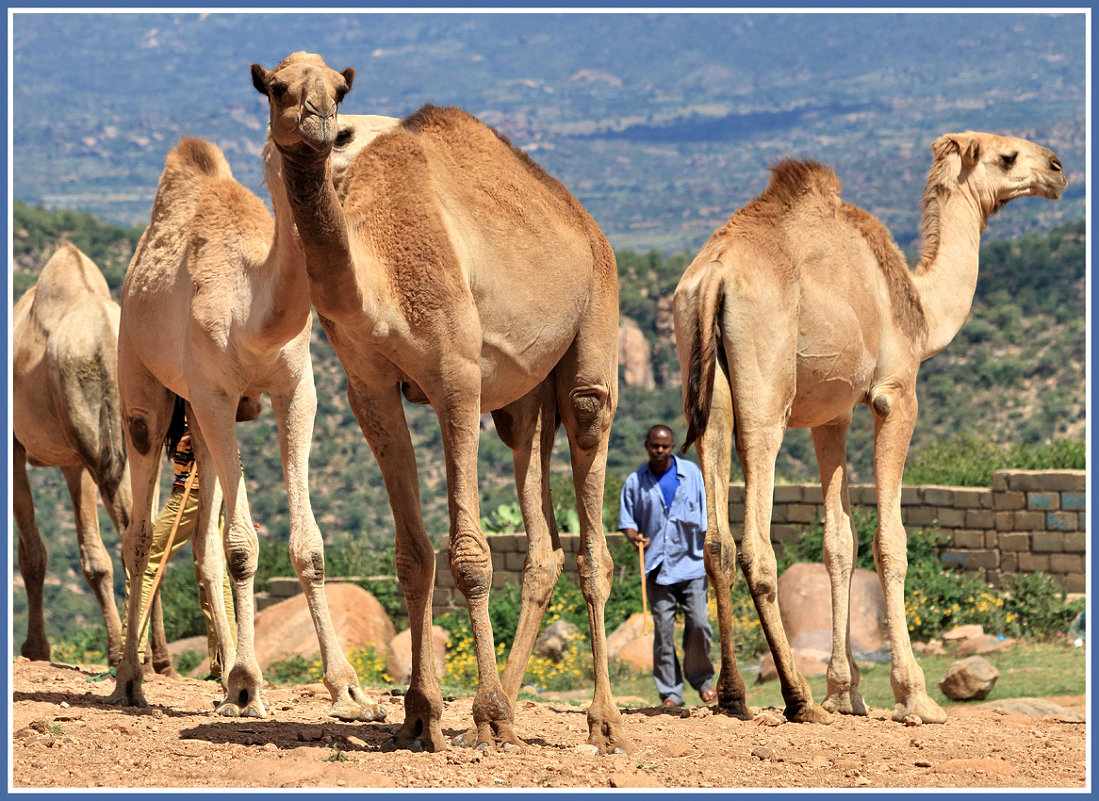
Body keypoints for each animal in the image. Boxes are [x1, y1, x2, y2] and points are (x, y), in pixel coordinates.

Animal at [107, 112, 397, 720]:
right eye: (343, 134)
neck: (253, 316)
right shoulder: (215, 393)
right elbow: (242, 547)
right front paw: (246, 686)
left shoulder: (296, 391)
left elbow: (306, 546)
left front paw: (349, 691)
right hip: (142, 389)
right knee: (139, 534)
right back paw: (130, 681)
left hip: (197, 415)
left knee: (202, 542)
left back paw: (218, 678)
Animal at [251, 53, 628, 751]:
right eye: (277, 87)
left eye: (339, 90)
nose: (320, 126)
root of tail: (580, 217)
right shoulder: (368, 387)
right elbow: (412, 555)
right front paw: (422, 713)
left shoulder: (456, 375)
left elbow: (470, 555)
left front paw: (482, 714)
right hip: (523, 398)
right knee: (540, 538)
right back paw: (513, 708)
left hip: (595, 322)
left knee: (593, 508)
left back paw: (601, 723)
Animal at [668, 132, 1063, 725]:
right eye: (1007, 156)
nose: (1058, 169)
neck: (920, 309)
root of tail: (715, 273)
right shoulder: (894, 395)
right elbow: (889, 540)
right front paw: (913, 696)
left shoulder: (833, 416)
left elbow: (838, 541)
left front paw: (846, 692)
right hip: (765, 390)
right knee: (756, 541)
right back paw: (798, 699)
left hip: (707, 388)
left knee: (715, 543)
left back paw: (736, 697)